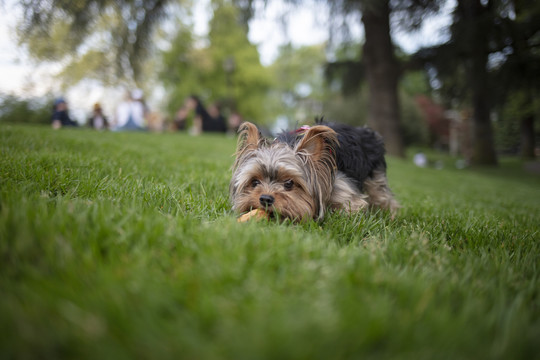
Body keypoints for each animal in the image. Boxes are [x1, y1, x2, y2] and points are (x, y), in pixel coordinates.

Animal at [230, 121, 398, 222]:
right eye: (254, 182)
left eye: (289, 183)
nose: (265, 199)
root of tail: (365, 130)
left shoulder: (343, 189)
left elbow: (349, 207)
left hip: (374, 176)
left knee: (383, 197)